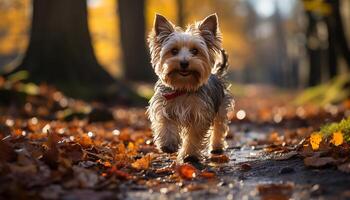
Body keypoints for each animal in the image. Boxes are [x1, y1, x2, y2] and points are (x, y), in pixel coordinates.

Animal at [146, 13, 234, 162]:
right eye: (174, 51)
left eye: (195, 51)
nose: (184, 62)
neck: (183, 86)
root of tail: (216, 74)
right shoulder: (163, 106)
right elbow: (165, 123)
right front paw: (168, 144)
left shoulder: (200, 114)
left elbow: (194, 135)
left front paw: (189, 155)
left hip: (221, 106)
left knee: (219, 126)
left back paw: (216, 147)